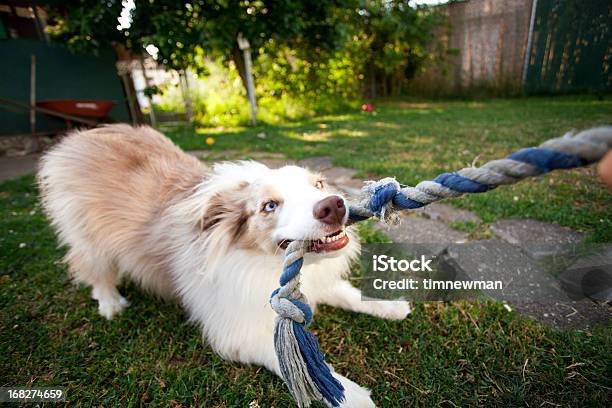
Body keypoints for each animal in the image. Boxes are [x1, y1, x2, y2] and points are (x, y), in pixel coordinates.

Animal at [38, 125, 412, 408]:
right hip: (89, 238)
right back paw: (110, 302)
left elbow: (349, 294)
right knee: (92, 268)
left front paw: (392, 306)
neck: (262, 262)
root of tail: (81, 135)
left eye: (318, 184)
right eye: (269, 206)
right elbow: (296, 363)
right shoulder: (235, 332)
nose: (333, 206)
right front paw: (350, 395)